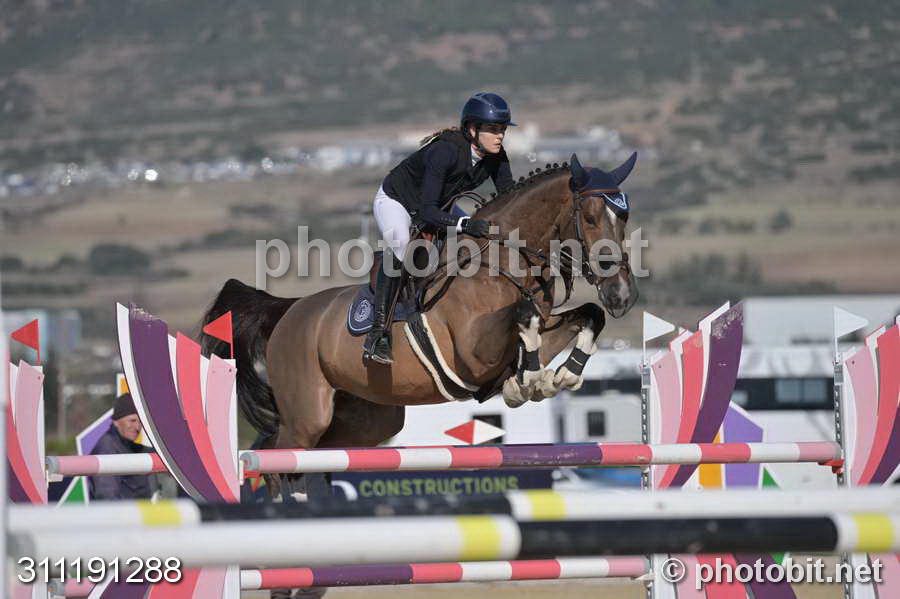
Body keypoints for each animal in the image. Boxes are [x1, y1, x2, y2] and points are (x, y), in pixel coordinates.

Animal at [201, 153, 639, 498]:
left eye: (624, 216)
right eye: (590, 217)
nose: (622, 294)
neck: (500, 262)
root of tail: (289, 310)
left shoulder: (536, 333)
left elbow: (586, 315)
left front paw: (559, 376)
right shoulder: (473, 351)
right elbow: (523, 316)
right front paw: (527, 381)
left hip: (364, 420)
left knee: (297, 453)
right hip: (309, 412)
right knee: (277, 459)